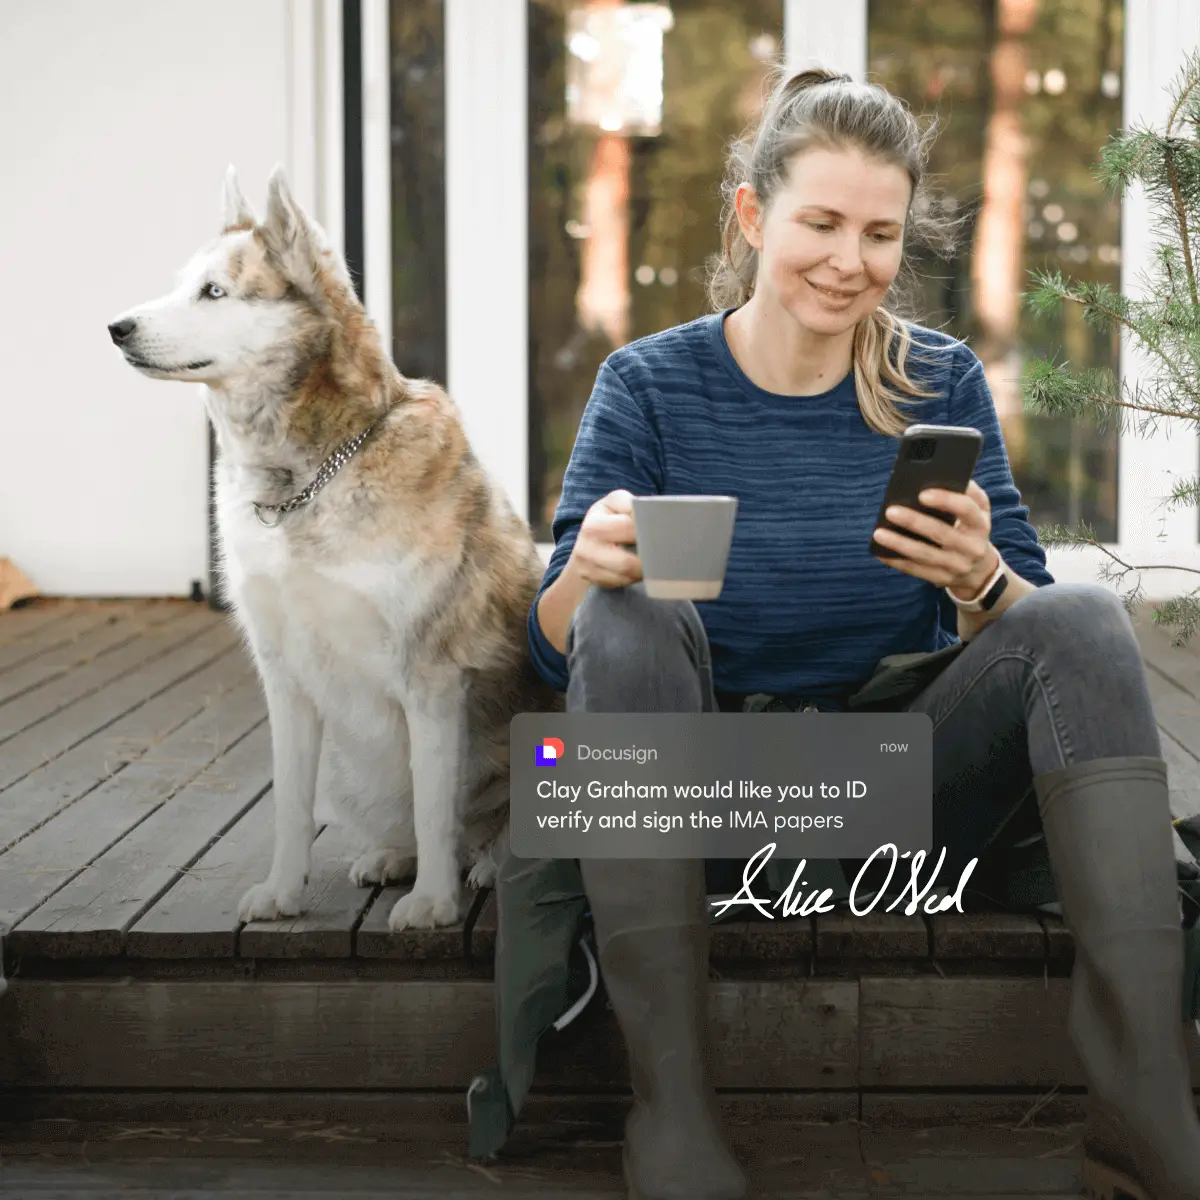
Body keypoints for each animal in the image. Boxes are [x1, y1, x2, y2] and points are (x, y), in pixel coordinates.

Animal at [108, 164, 556, 931]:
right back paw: (393, 857)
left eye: (214, 291)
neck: (308, 481)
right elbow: (291, 804)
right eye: (181, 283)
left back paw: (487, 865)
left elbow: (435, 803)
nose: (116, 327)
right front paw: (283, 893)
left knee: (481, 835)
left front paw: (433, 904)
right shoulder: (283, 675)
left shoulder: (431, 674)